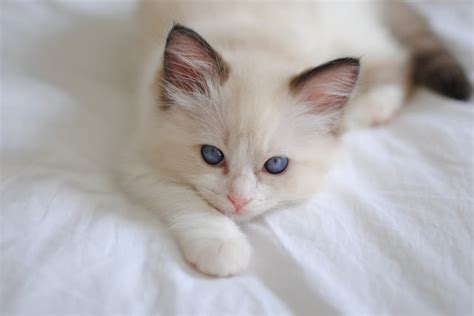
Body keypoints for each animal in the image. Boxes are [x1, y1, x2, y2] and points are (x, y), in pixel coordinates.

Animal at [119, 0, 470, 276]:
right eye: (212, 156)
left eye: (276, 165)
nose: (238, 200)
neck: (256, 42)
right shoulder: (137, 157)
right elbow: (187, 200)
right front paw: (223, 247)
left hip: (354, 32)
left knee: (398, 60)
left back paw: (364, 110)